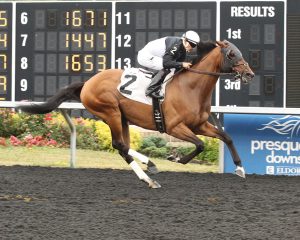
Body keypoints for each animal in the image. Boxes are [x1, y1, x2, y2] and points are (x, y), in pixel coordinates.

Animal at [18, 40, 253, 188]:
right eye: (232, 54)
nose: (249, 73)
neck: (191, 87)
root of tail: (87, 84)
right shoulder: (174, 127)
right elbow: (200, 145)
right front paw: (175, 157)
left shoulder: (200, 125)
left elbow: (227, 137)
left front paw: (240, 169)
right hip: (110, 112)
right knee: (119, 145)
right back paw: (149, 177)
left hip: (122, 118)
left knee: (124, 145)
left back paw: (150, 166)